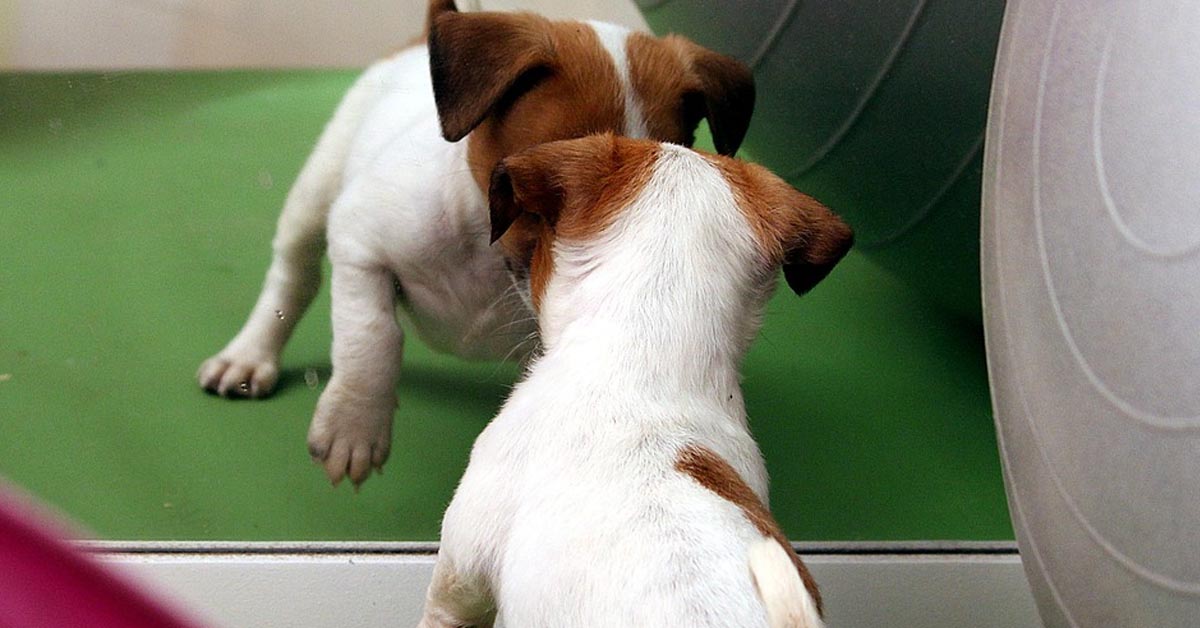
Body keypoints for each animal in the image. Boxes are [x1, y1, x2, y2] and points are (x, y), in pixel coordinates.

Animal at [198, 0, 758, 487]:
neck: (485, 254)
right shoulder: (359, 241)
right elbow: (373, 337)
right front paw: (353, 426)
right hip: (316, 193)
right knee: (293, 278)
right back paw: (249, 355)